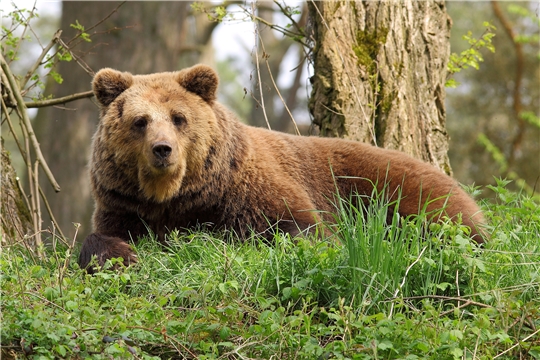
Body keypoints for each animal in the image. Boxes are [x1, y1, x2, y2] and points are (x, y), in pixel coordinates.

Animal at [78, 65, 488, 272]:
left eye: (179, 118)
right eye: (140, 121)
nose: (162, 150)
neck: (178, 197)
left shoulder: (247, 190)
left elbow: (300, 230)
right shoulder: (124, 204)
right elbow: (102, 236)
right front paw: (121, 254)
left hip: (396, 190)